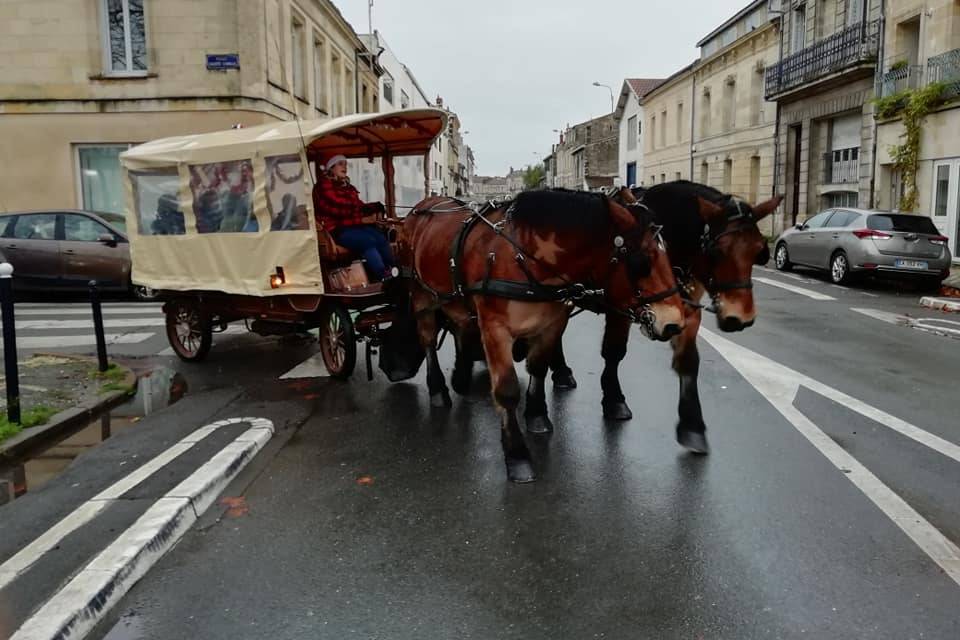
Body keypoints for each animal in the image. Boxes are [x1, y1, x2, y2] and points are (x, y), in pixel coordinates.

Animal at [402, 190, 688, 484]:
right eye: (643, 262)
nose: (674, 323)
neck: (524, 258)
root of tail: (423, 206)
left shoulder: (551, 324)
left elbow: (538, 367)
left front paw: (537, 416)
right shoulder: (495, 328)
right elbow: (506, 390)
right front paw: (517, 455)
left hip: (452, 300)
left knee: (459, 326)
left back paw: (460, 377)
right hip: (421, 295)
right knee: (427, 341)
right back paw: (438, 389)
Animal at [544, 179, 784, 450]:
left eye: (758, 252)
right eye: (716, 252)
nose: (740, 317)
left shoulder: (685, 313)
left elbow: (689, 361)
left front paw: (692, 423)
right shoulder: (621, 307)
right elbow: (614, 352)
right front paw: (614, 399)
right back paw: (561, 371)